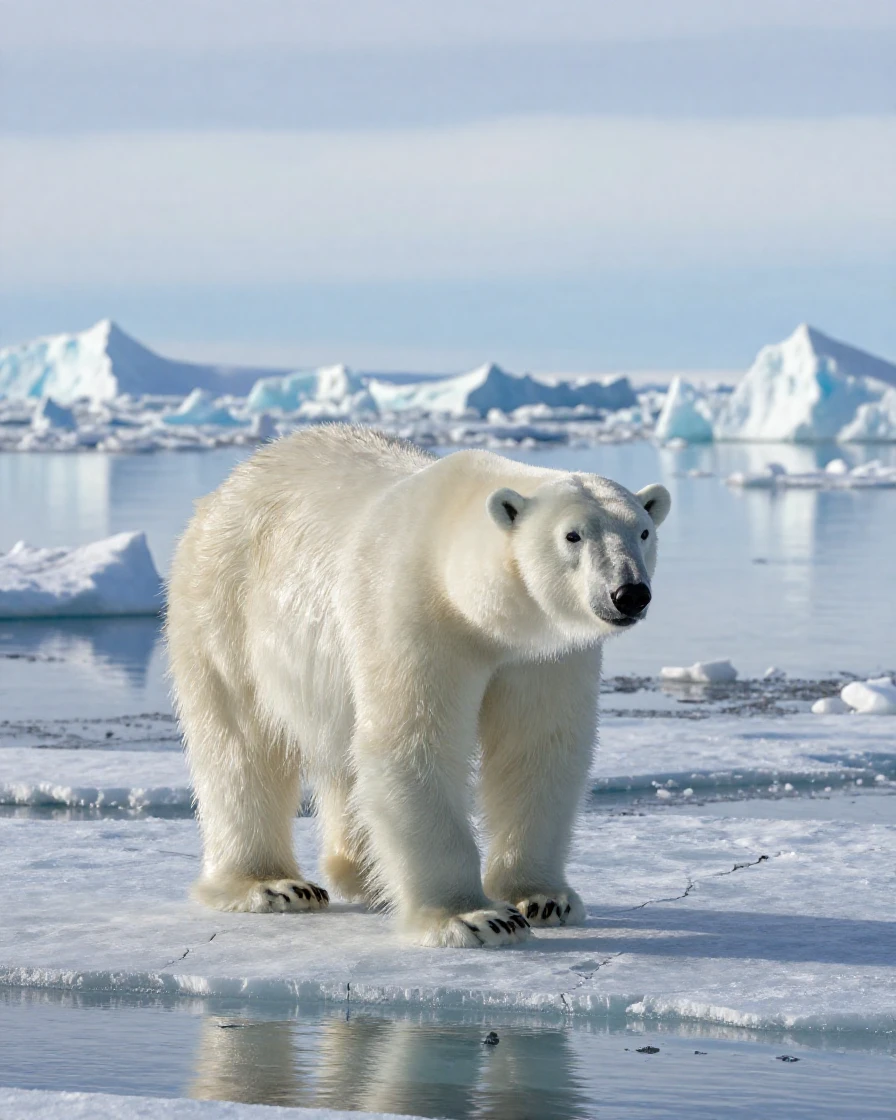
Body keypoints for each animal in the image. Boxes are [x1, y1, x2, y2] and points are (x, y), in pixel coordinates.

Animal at [166, 425, 670, 948]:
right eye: (572, 535)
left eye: (642, 531)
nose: (629, 593)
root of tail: (231, 484)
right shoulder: (413, 612)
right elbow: (415, 743)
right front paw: (476, 918)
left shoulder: (544, 653)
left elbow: (538, 748)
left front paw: (544, 899)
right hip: (224, 606)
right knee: (240, 742)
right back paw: (272, 884)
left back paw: (366, 877)